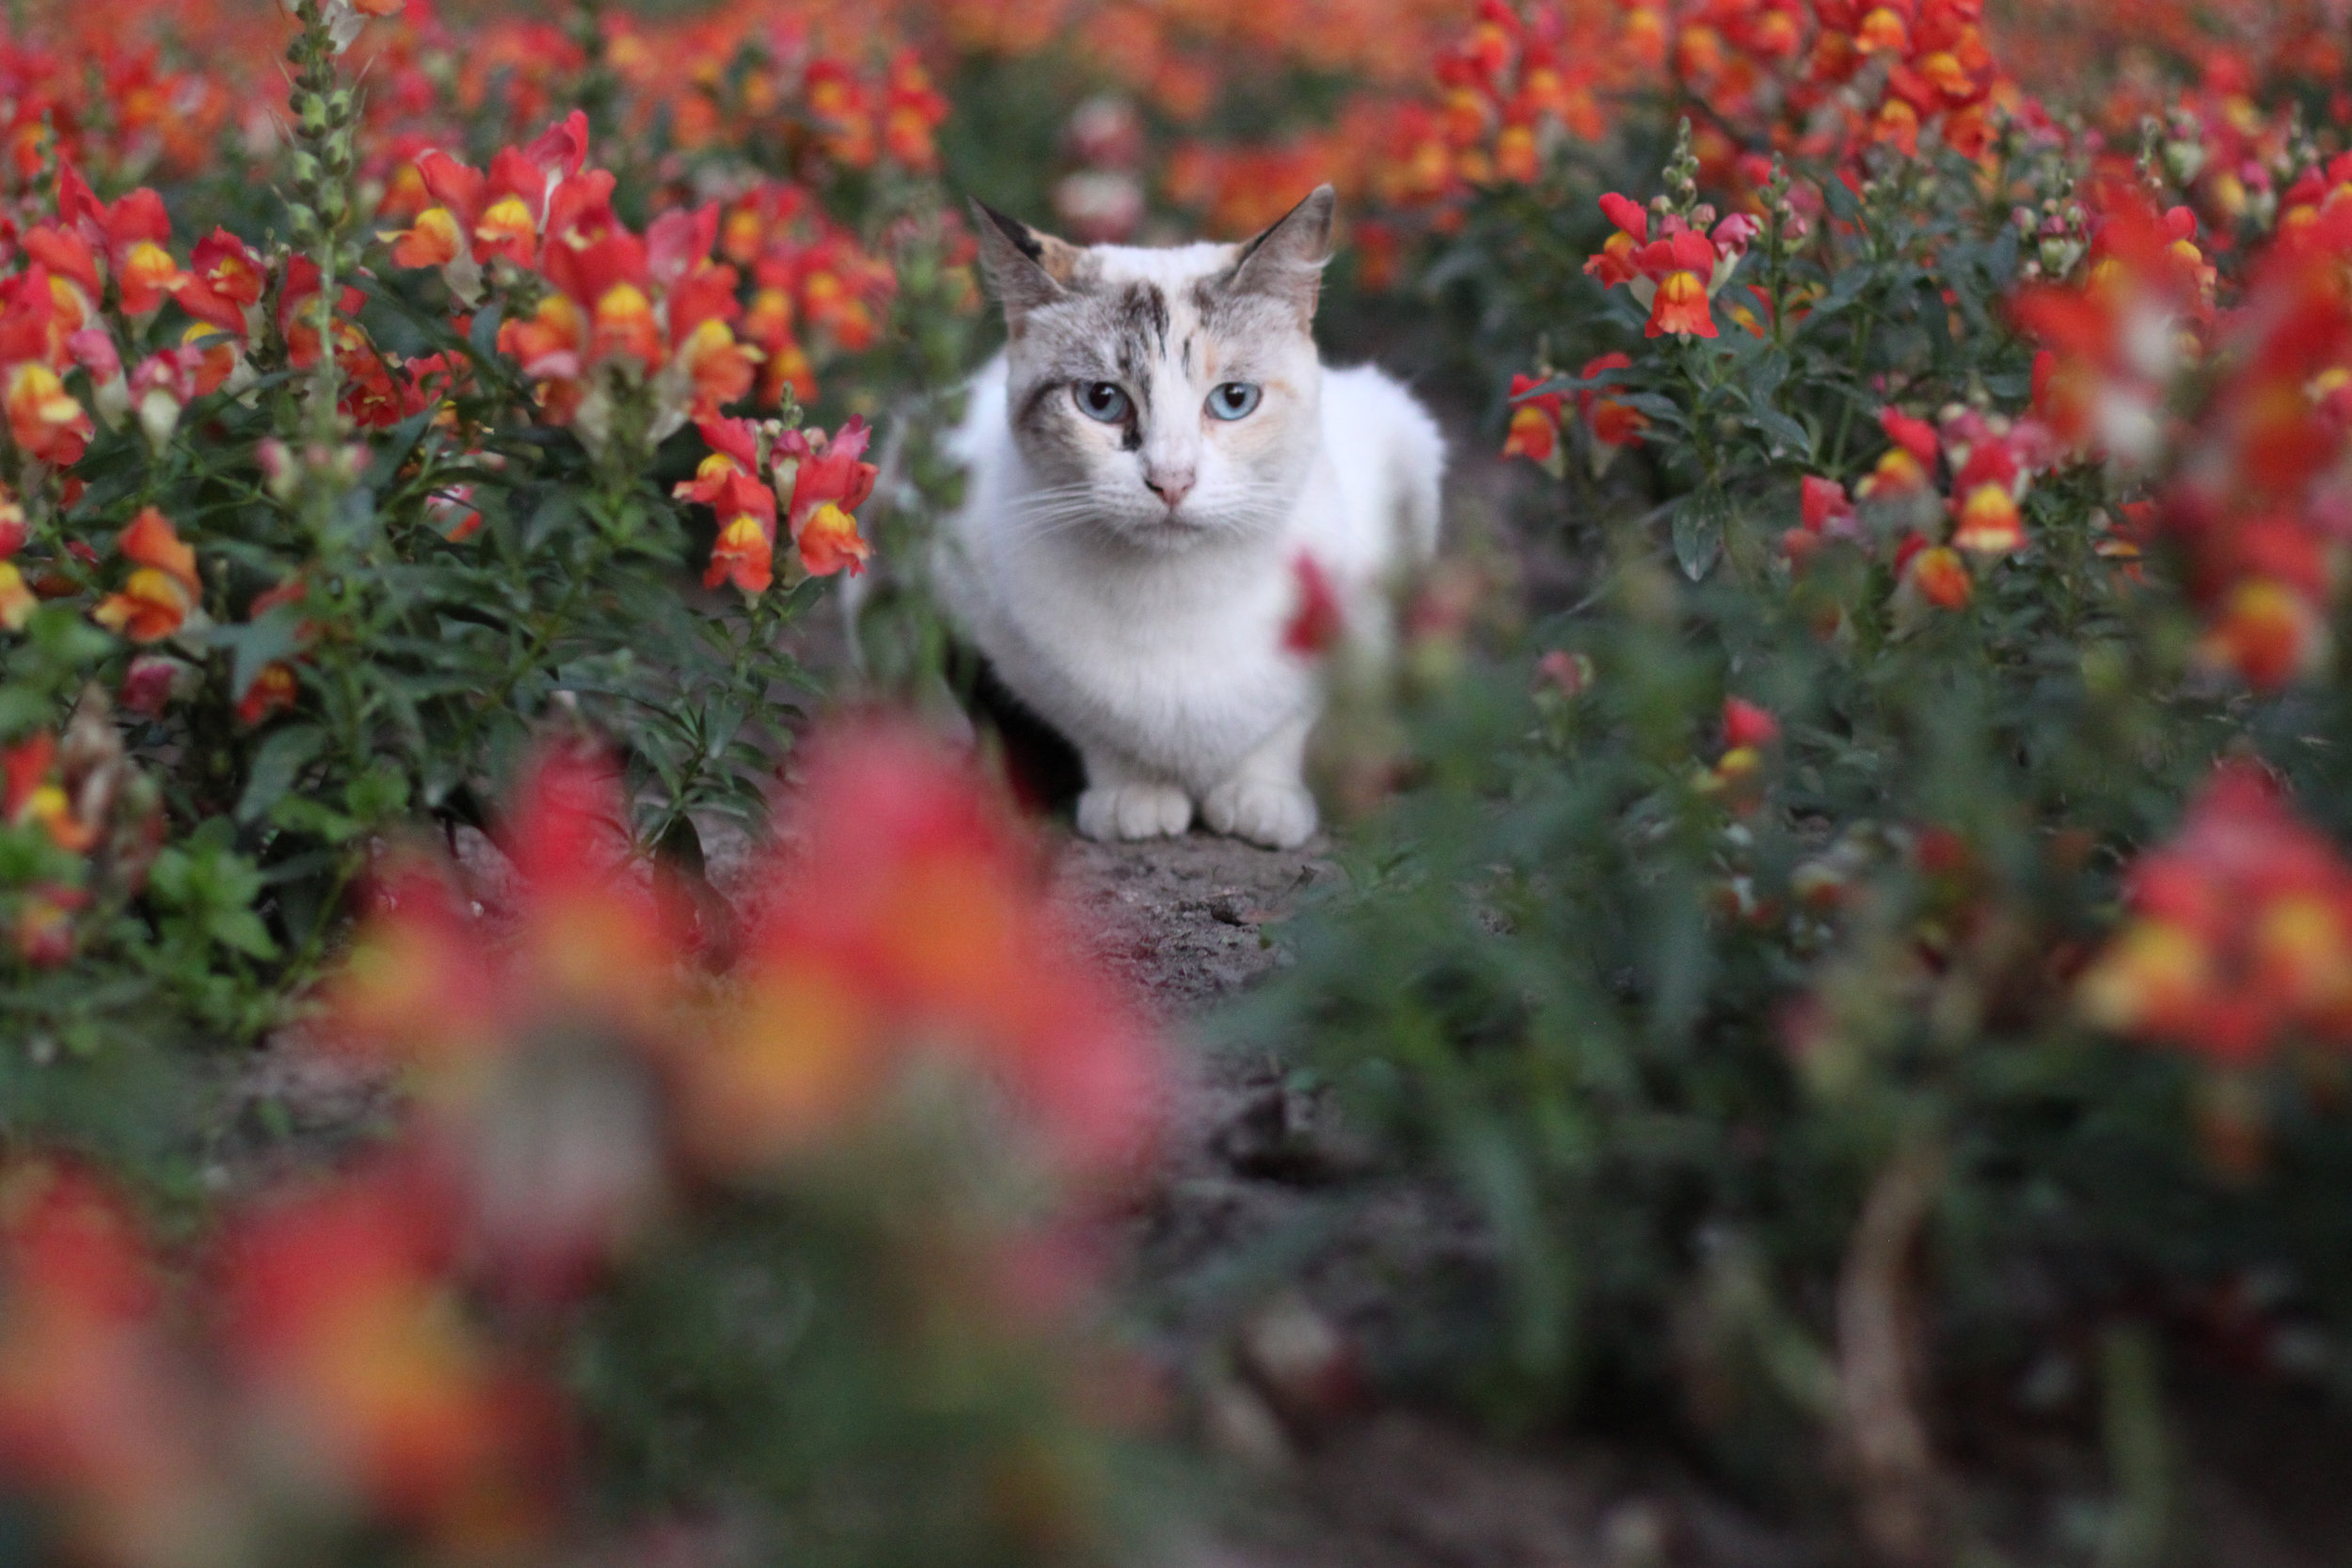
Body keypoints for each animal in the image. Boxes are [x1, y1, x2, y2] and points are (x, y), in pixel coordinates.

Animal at [927, 187, 1439, 850]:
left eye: (1234, 400)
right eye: (1101, 400)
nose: (1171, 479)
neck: (1176, 596)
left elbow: (1288, 722)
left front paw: (1262, 798)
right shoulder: (990, 617)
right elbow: (1093, 725)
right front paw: (1133, 796)